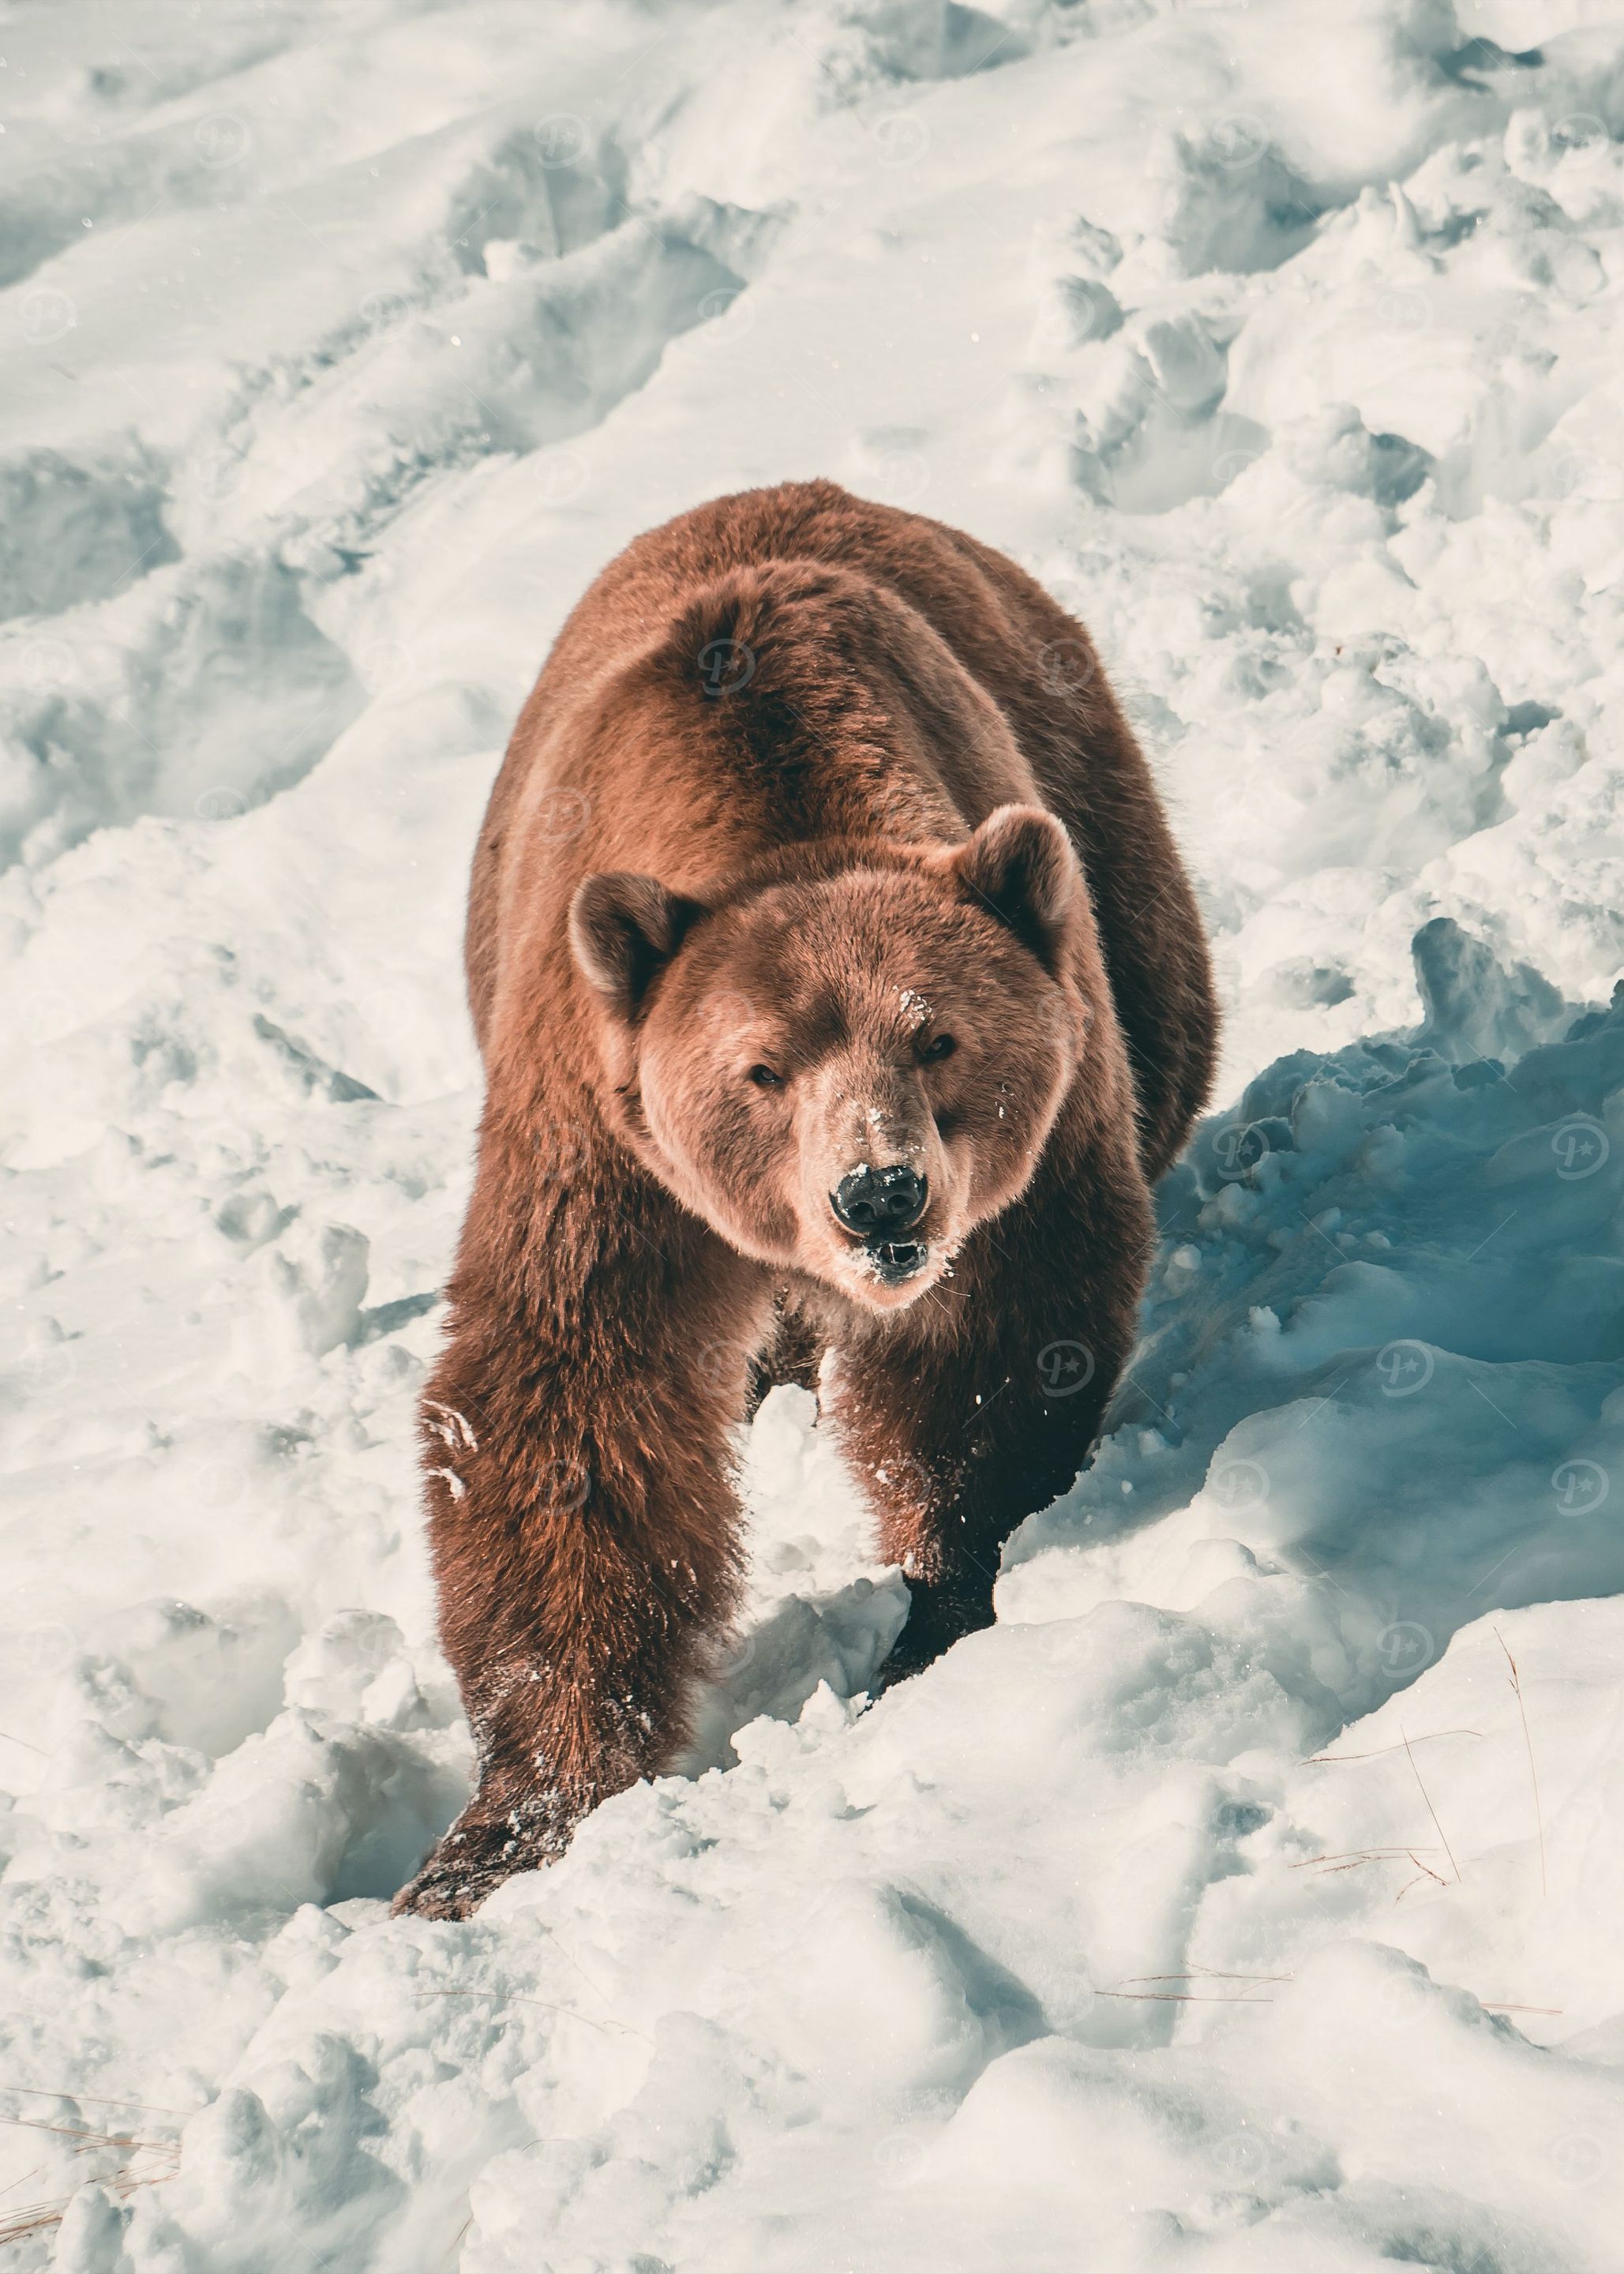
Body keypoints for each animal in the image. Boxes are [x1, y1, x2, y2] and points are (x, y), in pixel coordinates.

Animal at [393, 478, 1217, 1919]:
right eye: (760, 1069)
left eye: (936, 1037)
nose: (876, 1197)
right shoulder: (609, 1145)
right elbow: (567, 1411)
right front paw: (505, 1826)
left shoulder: (1025, 1164)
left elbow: (989, 1362)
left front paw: (937, 1606)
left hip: (1096, 842)